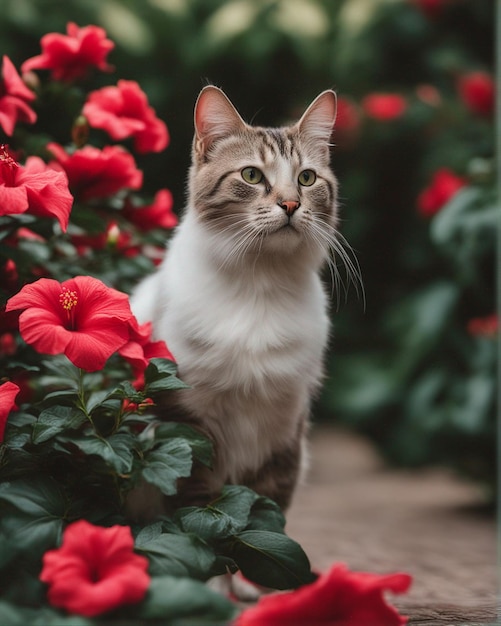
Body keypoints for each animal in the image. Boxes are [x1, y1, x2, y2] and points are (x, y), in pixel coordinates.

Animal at [128, 85, 352, 516]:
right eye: (251, 175)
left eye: (307, 178)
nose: (291, 205)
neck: (259, 282)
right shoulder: (190, 427)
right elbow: (199, 508)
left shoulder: (284, 434)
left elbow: (268, 511)